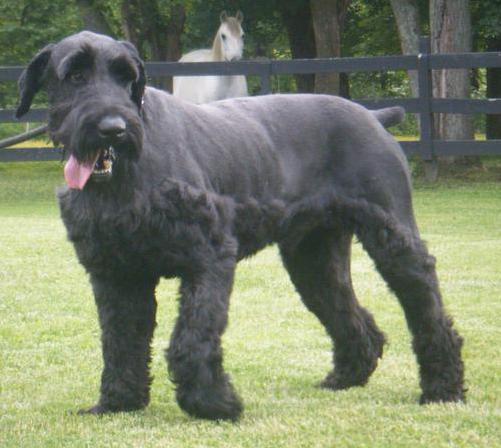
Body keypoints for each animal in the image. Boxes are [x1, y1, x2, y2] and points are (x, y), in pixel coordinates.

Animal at [17, 31, 462, 420]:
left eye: (127, 76)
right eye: (74, 75)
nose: (114, 129)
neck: (125, 176)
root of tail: (372, 115)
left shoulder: (209, 258)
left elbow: (192, 337)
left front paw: (214, 404)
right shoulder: (116, 274)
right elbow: (120, 340)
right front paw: (118, 402)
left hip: (393, 238)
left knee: (427, 307)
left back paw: (443, 388)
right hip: (313, 258)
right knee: (350, 313)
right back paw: (346, 377)